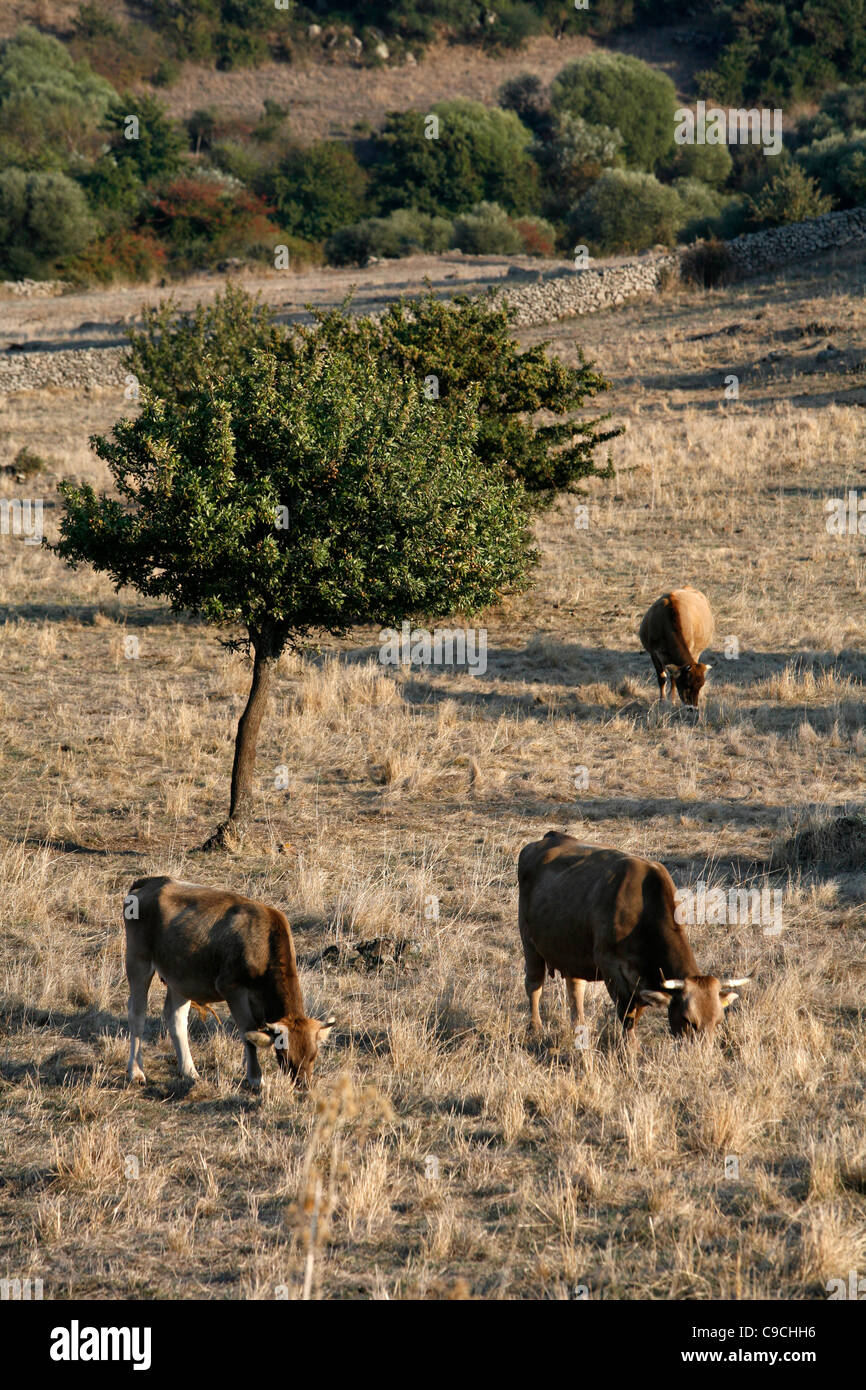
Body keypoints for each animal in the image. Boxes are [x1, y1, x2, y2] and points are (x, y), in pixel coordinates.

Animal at [125, 878, 335, 1084]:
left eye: (313, 1055)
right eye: (284, 1056)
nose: (303, 1086)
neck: (263, 943)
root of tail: (152, 882)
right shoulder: (233, 989)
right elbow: (248, 1032)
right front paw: (256, 1077)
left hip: (180, 976)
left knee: (176, 1017)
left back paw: (189, 1071)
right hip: (138, 961)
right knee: (137, 1014)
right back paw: (136, 1072)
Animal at [517, 822, 750, 1045]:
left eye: (718, 1021)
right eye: (688, 1020)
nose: (702, 1052)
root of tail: (549, 837)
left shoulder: (642, 981)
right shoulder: (611, 968)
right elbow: (627, 1014)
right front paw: (629, 1047)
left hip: (572, 949)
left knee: (575, 989)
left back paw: (579, 1029)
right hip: (529, 942)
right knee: (534, 984)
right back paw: (535, 1028)